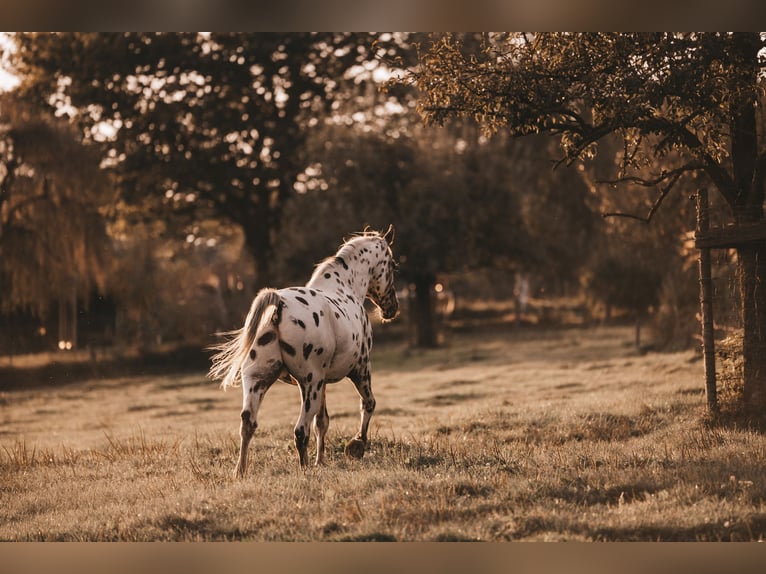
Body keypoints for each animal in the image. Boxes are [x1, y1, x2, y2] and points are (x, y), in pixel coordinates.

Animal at [210, 230, 402, 476]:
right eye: (393, 266)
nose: (392, 309)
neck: (345, 287)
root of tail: (279, 304)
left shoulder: (324, 383)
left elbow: (322, 422)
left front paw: (321, 461)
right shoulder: (360, 369)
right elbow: (368, 404)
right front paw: (356, 446)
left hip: (259, 381)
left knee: (248, 424)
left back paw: (240, 471)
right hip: (310, 385)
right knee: (300, 430)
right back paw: (305, 471)